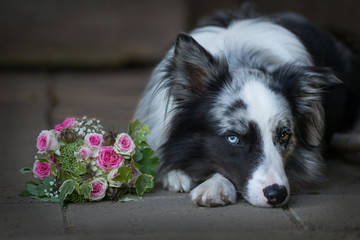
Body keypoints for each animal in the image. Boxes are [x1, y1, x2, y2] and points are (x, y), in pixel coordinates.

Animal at [134, 7, 358, 206]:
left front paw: (215, 186)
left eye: (284, 135)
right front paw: (176, 174)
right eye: (233, 138)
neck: (240, 60)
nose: (277, 194)